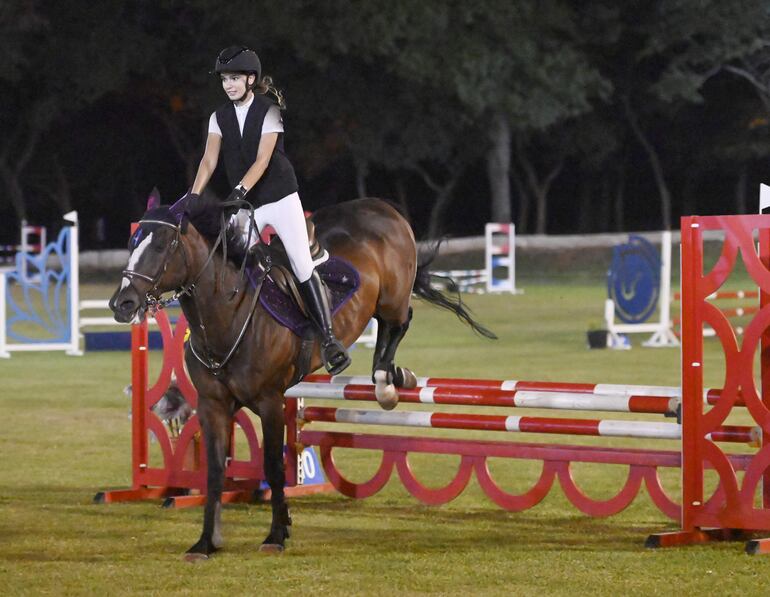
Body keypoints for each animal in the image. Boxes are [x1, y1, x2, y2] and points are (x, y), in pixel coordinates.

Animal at [108, 193, 492, 560]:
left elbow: (274, 466)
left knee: (400, 320)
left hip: (392, 297)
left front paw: (276, 536)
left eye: (161, 245)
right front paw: (206, 542)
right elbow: (215, 471)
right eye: (132, 244)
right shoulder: (212, 405)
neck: (228, 312)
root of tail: (381, 207)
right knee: (388, 330)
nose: (121, 304)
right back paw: (393, 377)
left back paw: (386, 380)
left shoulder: (271, 401)